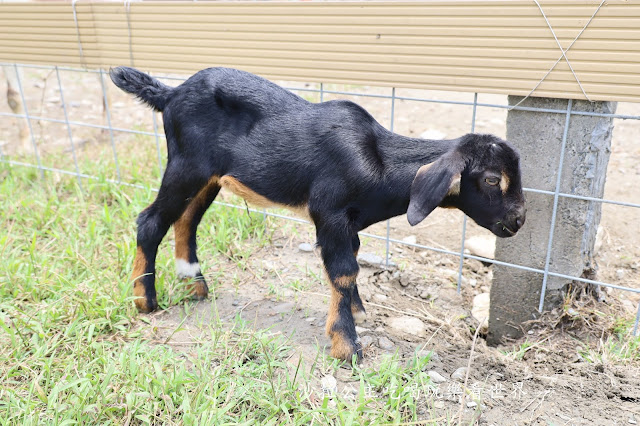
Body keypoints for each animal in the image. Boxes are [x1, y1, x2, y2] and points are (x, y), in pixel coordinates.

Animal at [110, 65, 528, 360]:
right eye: (492, 179)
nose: (519, 220)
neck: (380, 161)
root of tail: (171, 93)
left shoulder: (350, 223)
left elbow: (353, 262)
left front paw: (358, 312)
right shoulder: (330, 213)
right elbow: (343, 271)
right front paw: (347, 347)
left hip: (207, 177)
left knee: (186, 219)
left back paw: (193, 283)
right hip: (186, 166)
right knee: (151, 221)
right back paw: (145, 301)